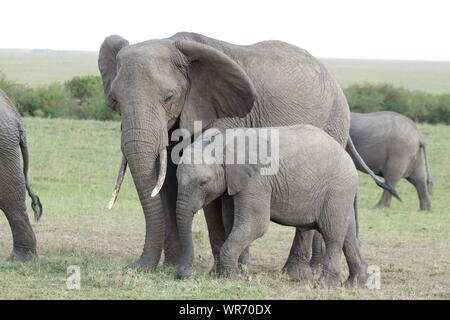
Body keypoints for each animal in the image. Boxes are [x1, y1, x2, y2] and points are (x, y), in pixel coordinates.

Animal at [174, 125, 368, 288]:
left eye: (203, 183)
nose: (183, 274)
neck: (222, 141)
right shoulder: (234, 180)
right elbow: (233, 223)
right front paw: (241, 275)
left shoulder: (257, 179)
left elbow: (256, 224)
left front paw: (230, 278)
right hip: (341, 192)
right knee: (348, 234)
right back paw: (356, 284)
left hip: (337, 188)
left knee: (332, 233)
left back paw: (325, 286)